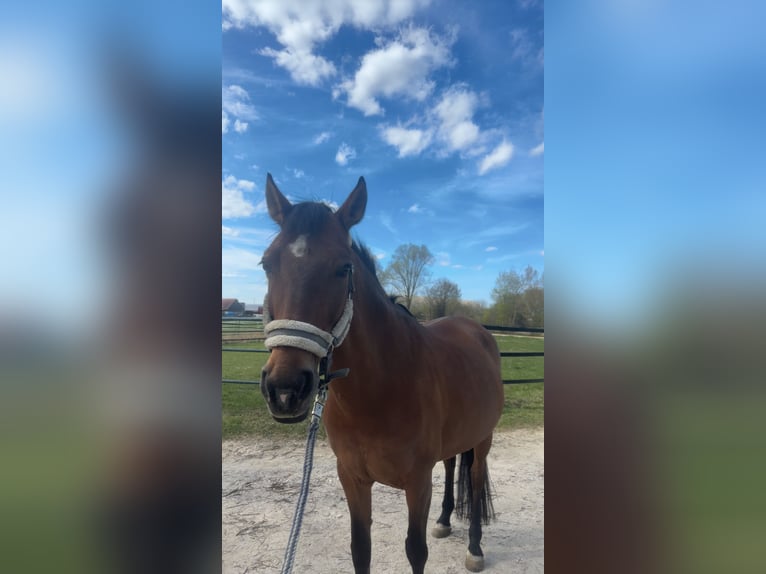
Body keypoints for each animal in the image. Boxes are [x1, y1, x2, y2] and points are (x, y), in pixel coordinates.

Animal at [259, 174, 505, 573]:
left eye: (344, 267)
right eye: (267, 264)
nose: (285, 389)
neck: (379, 391)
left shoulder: (417, 483)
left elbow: (415, 550)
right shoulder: (353, 479)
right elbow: (361, 548)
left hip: (483, 439)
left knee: (476, 478)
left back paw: (475, 547)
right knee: (452, 464)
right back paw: (444, 521)